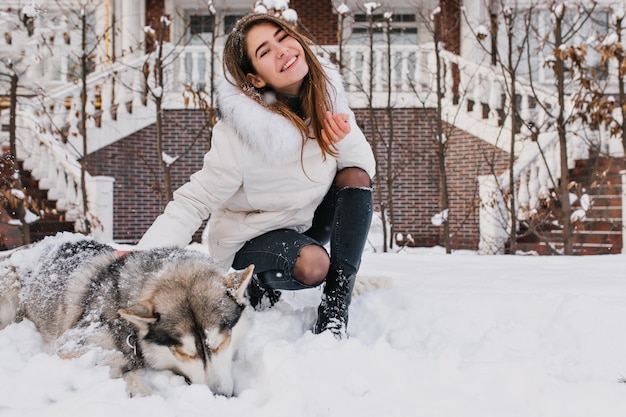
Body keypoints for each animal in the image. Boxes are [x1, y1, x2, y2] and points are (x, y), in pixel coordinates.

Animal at [0, 236, 254, 394]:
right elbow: (115, 359)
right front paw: (136, 383)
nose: (218, 395)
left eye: (220, 343)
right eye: (183, 353)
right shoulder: (71, 343)